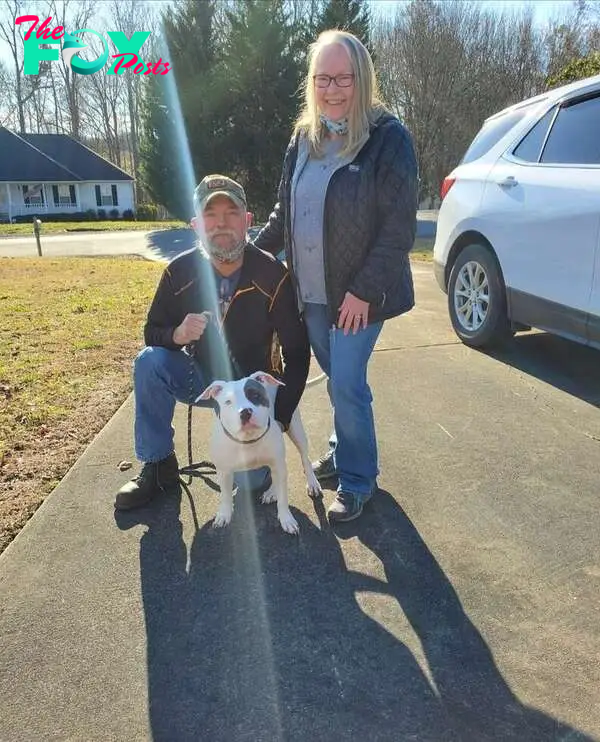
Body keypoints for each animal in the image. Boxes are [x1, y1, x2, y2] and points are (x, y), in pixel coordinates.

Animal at [198, 372, 324, 536]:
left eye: (255, 395)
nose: (245, 412)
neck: (249, 441)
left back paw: (311, 483)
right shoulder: (223, 471)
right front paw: (224, 515)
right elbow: (225, 495)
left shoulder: (278, 462)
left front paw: (286, 519)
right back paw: (272, 492)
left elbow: (283, 499)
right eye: (228, 402)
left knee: (304, 459)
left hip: (295, 428)